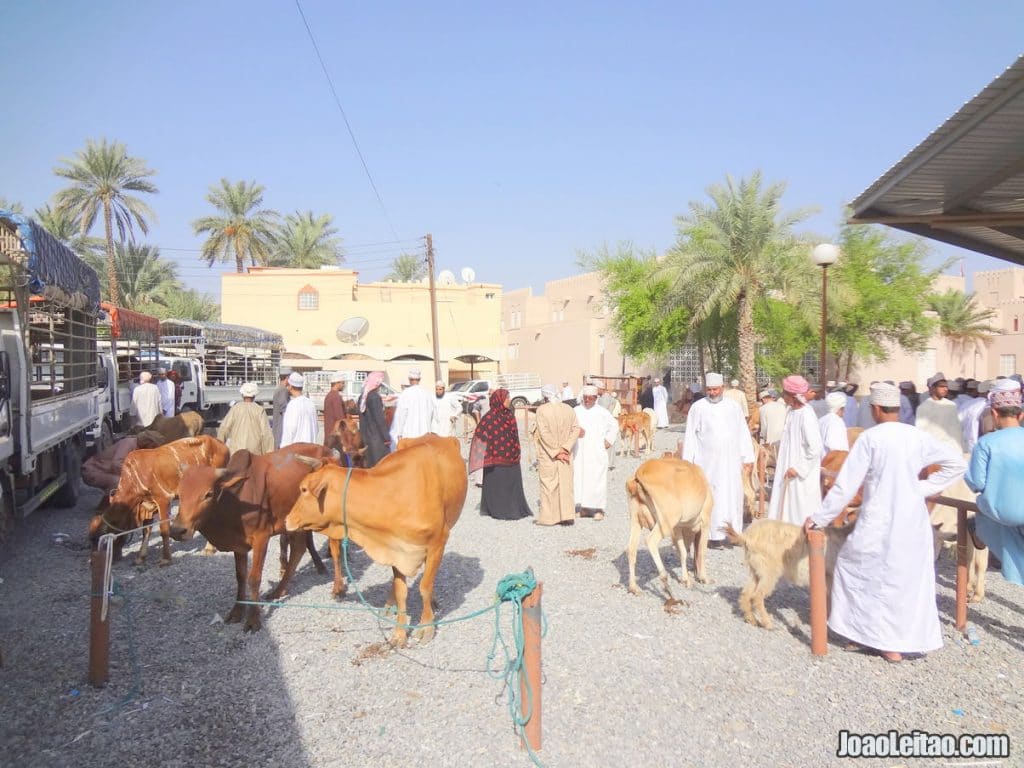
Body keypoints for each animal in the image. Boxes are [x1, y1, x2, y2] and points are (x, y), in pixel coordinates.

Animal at [90, 436, 230, 569]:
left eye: (100, 539)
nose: (93, 563)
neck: (133, 478)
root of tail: (221, 444)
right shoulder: (147, 504)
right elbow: (146, 531)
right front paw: (140, 558)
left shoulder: (163, 499)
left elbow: (164, 530)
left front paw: (166, 559)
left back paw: (209, 548)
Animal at [169, 444, 333, 630]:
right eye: (179, 494)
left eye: (208, 494)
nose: (178, 530)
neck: (235, 501)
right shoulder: (239, 545)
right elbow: (240, 576)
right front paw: (237, 611)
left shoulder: (261, 537)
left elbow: (254, 578)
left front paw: (253, 618)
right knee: (299, 549)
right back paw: (281, 589)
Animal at [286, 436, 466, 647]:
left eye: (303, 488)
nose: (287, 519)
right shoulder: (395, 548)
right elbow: (401, 591)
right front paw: (399, 633)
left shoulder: (438, 542)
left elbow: (425, 587)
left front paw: (426, 627)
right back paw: (389, 604)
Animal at [622, 460, 712, 598]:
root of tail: (641, 471)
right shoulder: (706, 522)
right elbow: (702, 552)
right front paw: (704, 578)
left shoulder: (677, 528)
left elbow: (683, 552)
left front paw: (686, 579)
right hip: (666, 520)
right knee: (650, 541)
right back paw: (665, 581)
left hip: (636, 520)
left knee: (631, 549)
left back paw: (633, 587)